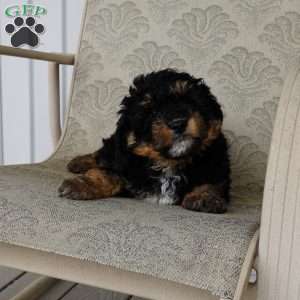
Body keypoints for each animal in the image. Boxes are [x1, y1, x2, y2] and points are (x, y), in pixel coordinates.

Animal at [59, 68, 232, 213]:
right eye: (150, 111)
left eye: (189, 100)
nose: (178, 122)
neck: (169, 164)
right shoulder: (124, 163)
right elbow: (106, 173)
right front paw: (80, 184)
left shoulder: (217, 162)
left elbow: (213, 180)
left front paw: (204, 197)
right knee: (103, 154)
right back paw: (79, 162)